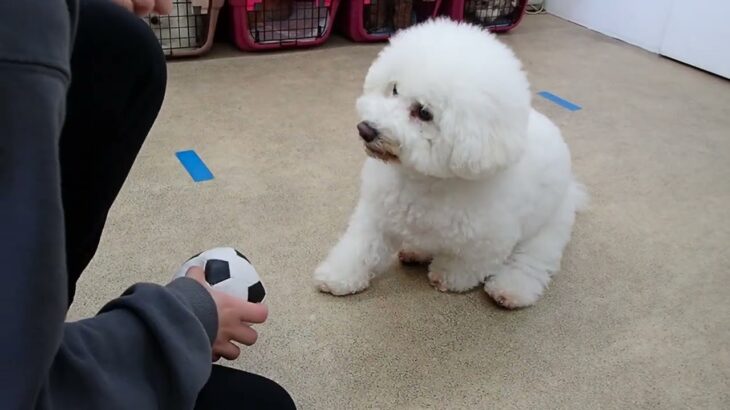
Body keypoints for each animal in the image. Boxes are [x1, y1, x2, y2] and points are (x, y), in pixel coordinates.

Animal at [312, 18, 584, 308]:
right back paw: (415, 250)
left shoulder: (489, 241)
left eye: (423, 112)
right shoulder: (377, 213)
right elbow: (360, 246)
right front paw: (338, 275)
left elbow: (467, 265)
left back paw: (511, 289)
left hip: (548, 229)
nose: (365, 130)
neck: (422, 179)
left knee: (531, 262)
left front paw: (447, 277)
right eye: (394, 89)